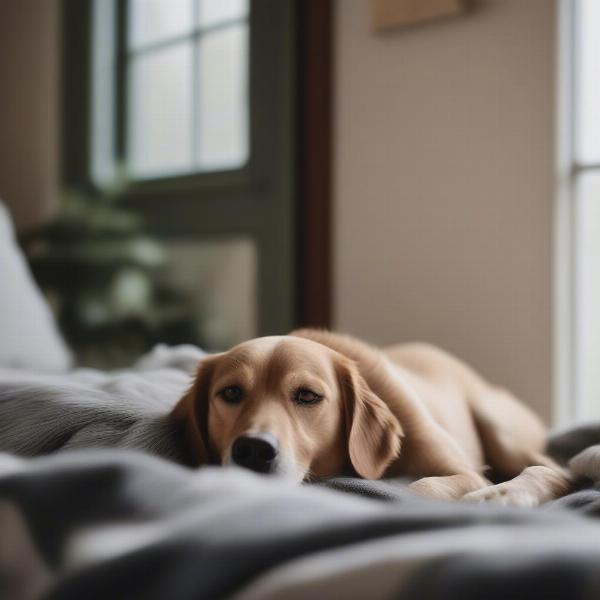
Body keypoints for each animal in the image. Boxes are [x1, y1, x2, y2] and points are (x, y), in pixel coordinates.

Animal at [170, 330, 572, 504]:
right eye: (231, 393)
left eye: (307, 396)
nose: (253, 450)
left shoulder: (466, 473)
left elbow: (420, 488)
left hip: (497, 425)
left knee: (558, 470)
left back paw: (504, 494)